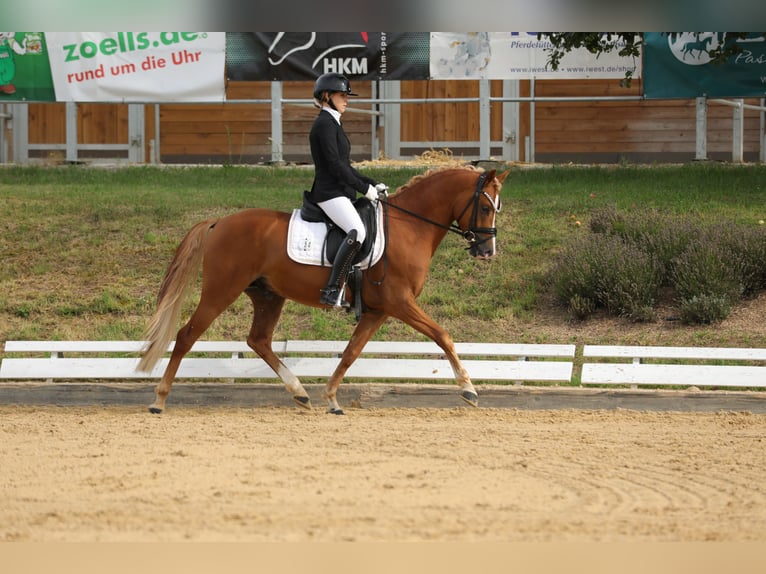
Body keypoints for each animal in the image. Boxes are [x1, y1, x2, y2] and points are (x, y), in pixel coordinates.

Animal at [138, 165, 510, 414]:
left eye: (497, 208)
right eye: (485, 207)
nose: (487, 251)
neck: (410, 226)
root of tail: (219, 222)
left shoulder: (379, 311)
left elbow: (351, 352)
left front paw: (331, 398)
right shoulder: (399, 302)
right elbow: (442, 335)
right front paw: (468, 388)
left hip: (268, 295)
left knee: (259, 340)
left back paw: (300, 392)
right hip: (221, 291)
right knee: (187, 335)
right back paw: (159, 399)